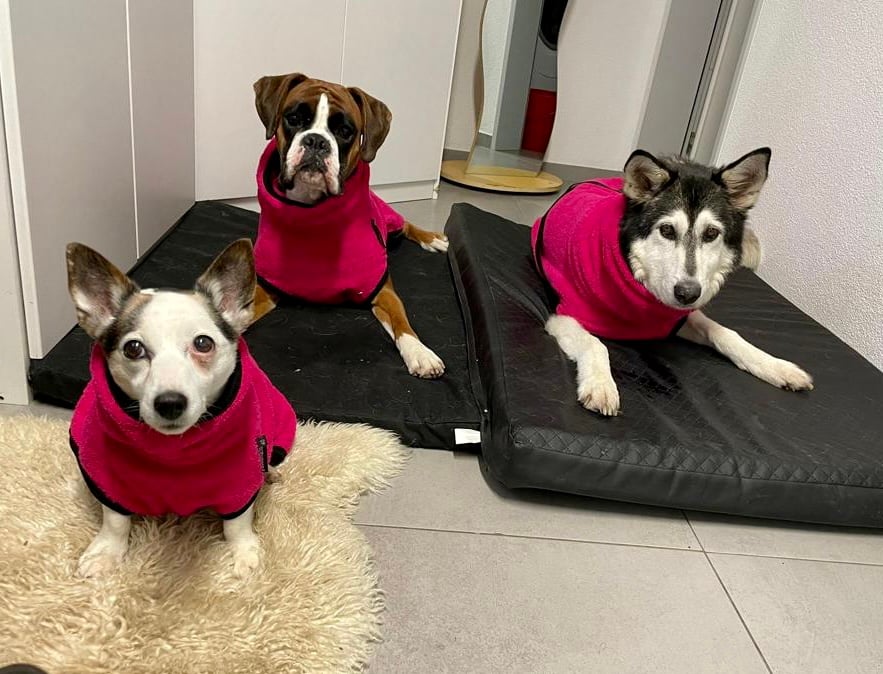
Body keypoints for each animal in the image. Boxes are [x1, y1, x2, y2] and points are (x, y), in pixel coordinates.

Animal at [66, 239, 296, 578]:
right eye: (133, 349)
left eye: (203, 343)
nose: (170, 402)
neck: (174, 450)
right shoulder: (104, 474)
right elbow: (115, 519)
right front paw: (107, 551)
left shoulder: (241, 477)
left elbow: (237, 522)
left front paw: (244, 552)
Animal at [251, 72, 449, 379]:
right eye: (294, 118)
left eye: (345, 131)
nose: (316, 141)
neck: (312, 213)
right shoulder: (268, 289)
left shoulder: (383, 291)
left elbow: (402, 322)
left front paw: (420, 352)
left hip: (390, 220)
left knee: (405, 225)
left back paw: (433, 239)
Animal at [532, 147, 813, 416]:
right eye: (667, 230)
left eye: (711, 233)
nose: (687, 294)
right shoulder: (564, 317)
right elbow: (595, 344)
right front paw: (600, 385)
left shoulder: (676, 317)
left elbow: (724, 333)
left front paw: (776, 366)